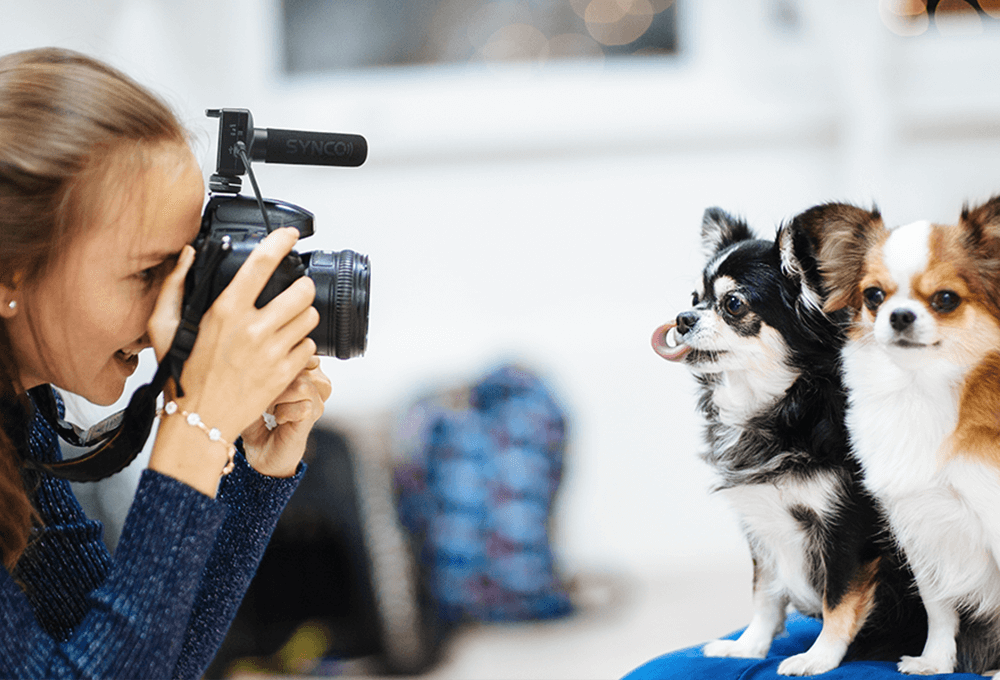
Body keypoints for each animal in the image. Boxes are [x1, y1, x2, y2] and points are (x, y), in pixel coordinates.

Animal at [652, 207, 924, 676]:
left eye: (733, 304)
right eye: (694, 297)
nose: (683, 319)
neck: (783, 408)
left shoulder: (847, 533)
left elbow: (839, 601)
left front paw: (819, 657)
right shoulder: (762, 526)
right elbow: (764, 594)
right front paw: (748, 648)